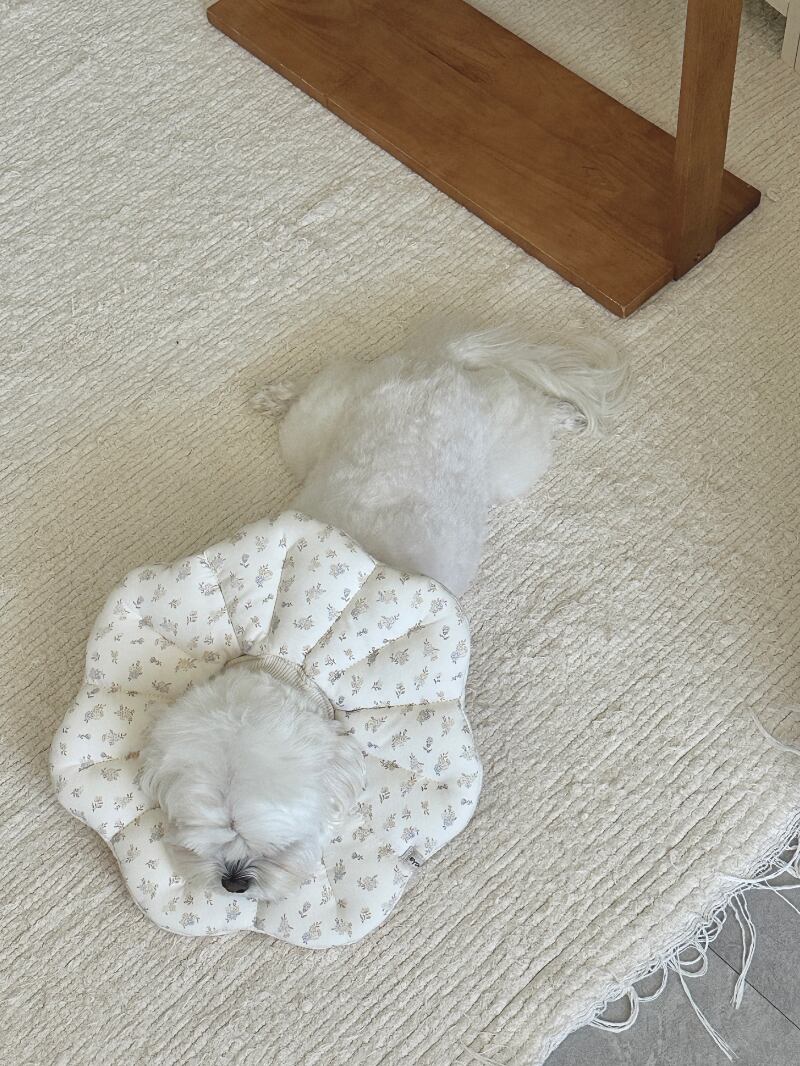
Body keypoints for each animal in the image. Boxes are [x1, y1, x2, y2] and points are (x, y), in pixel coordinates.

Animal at [140, 321, 627, 899]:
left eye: (273, 841)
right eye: (201, 833)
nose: (234, 882)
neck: (293, 667)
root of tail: (437, 363)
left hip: (514, 458)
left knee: (532, 412)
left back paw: (563, 415)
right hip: (318, 423)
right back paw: (278, 393)